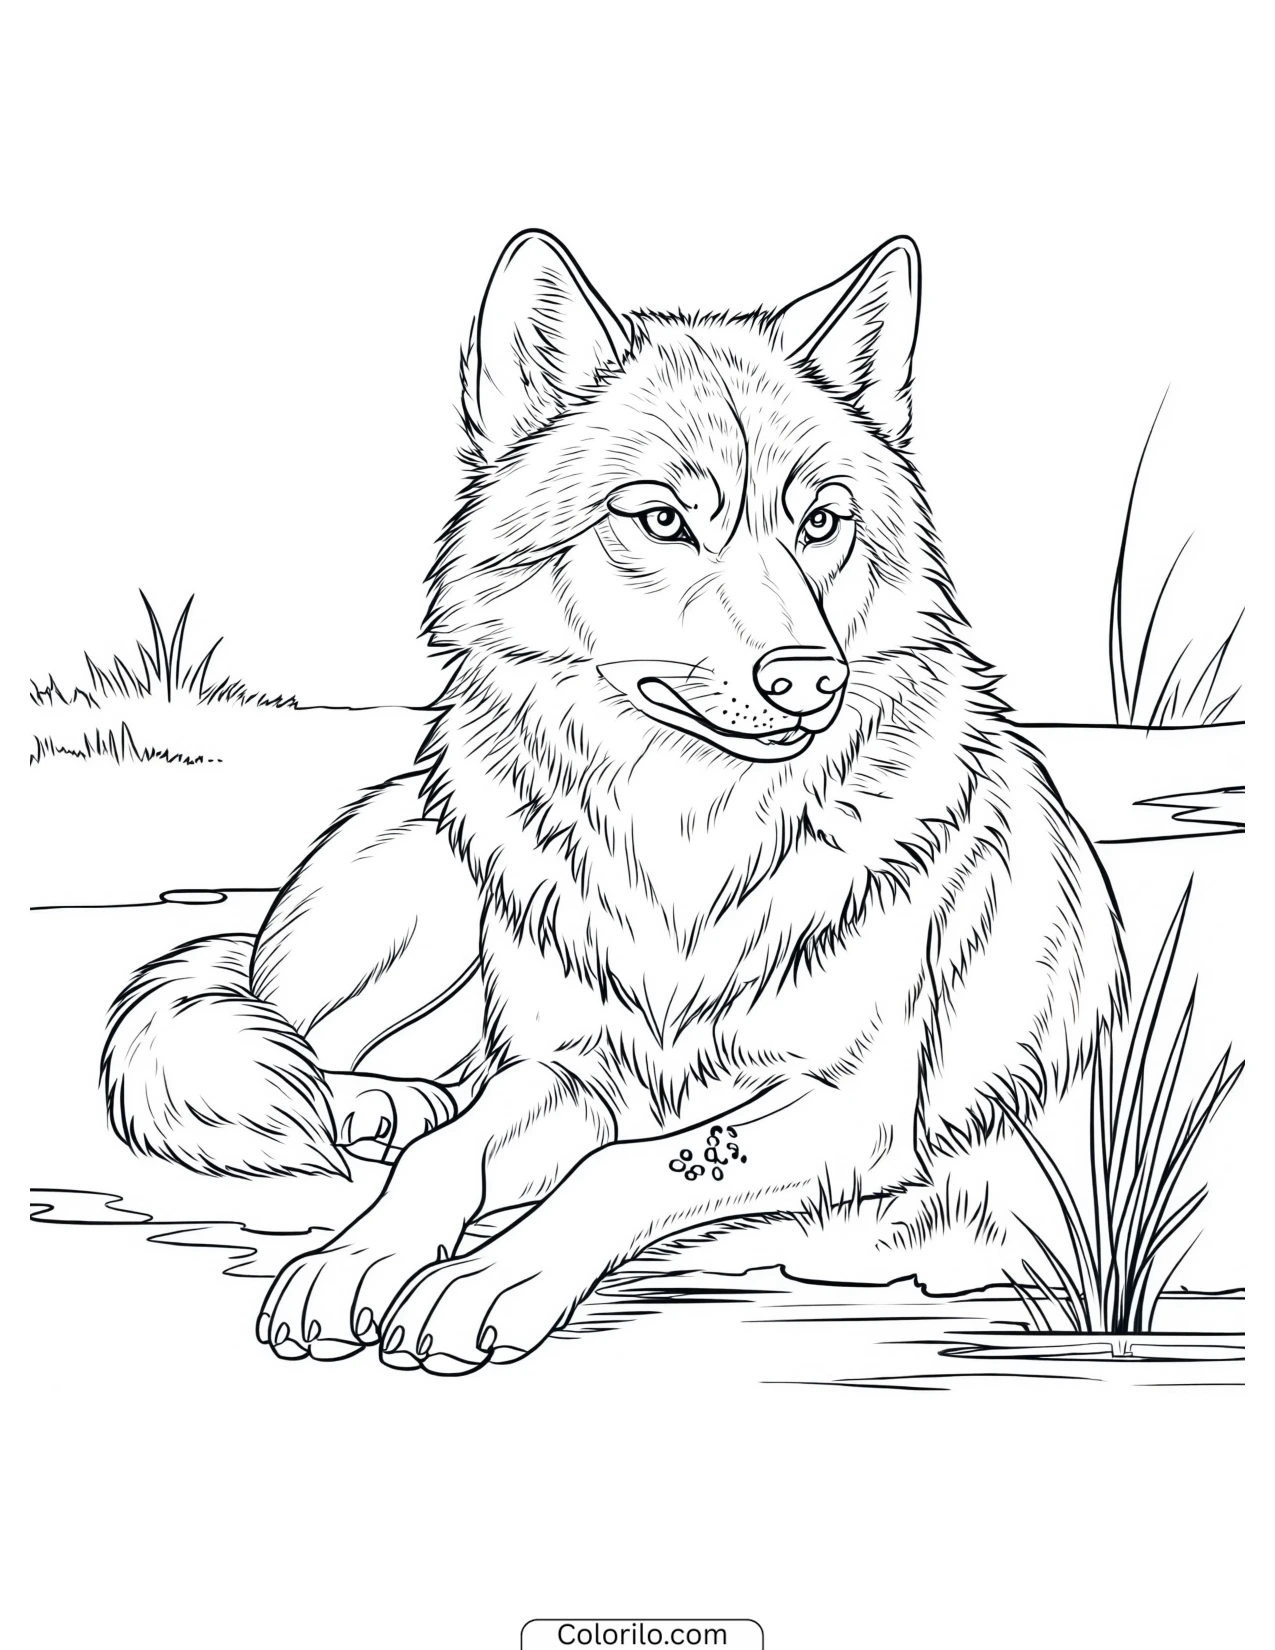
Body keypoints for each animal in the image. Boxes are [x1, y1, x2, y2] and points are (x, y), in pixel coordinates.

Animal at [103, 229, 1127, 1373]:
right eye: (664, 520)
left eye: (821, 522)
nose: (808, 678)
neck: (684, 838)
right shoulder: (568, 1068)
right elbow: (449, 1156)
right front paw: (357, 1256)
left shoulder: (848, 1109)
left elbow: (632, 1166)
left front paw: (484, 1281)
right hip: (419, 915)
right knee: (302, 1039)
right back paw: (377, 1103)